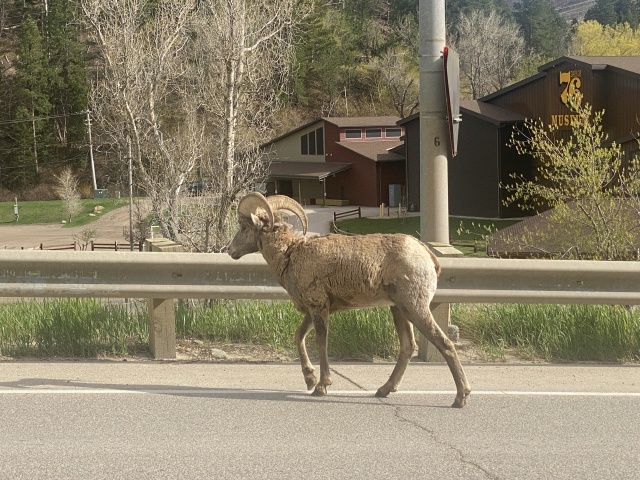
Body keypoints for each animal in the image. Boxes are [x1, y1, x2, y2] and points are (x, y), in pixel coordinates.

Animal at [227, 192, 471, 408]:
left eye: (244, 227)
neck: (290, 255)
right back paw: (383, 390)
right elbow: (299, 337)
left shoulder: (318, 307)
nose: (230, 251)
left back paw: (460, 397)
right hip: (399, 310)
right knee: (407, 347)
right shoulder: (313, 309)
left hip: (415, 308)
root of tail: (428, 257)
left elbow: (321, 343)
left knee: (445, 344)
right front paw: (309, 379)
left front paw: (321, 387)